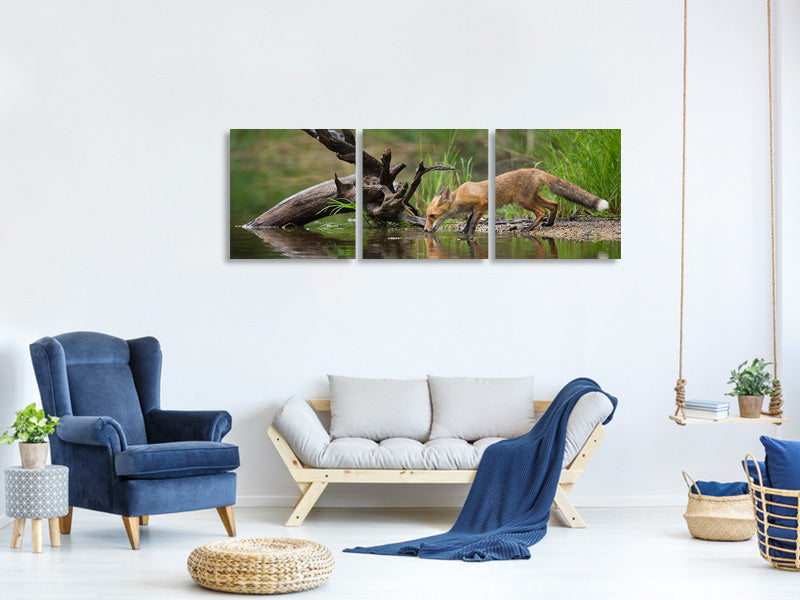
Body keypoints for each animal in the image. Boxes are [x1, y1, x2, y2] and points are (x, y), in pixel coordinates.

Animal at [423, 168, 610, 234]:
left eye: (432, 216)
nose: (424, 230)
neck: (460, 197)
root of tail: (534, 170)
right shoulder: (474, 208)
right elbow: (469, 221)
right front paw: (462, 232)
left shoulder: (481, 204)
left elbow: (473, 224)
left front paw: (467, 235)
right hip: (532, 198)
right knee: (554, 204)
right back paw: (549, 223)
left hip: (522, 201)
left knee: (542, 211)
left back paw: (529, 228)